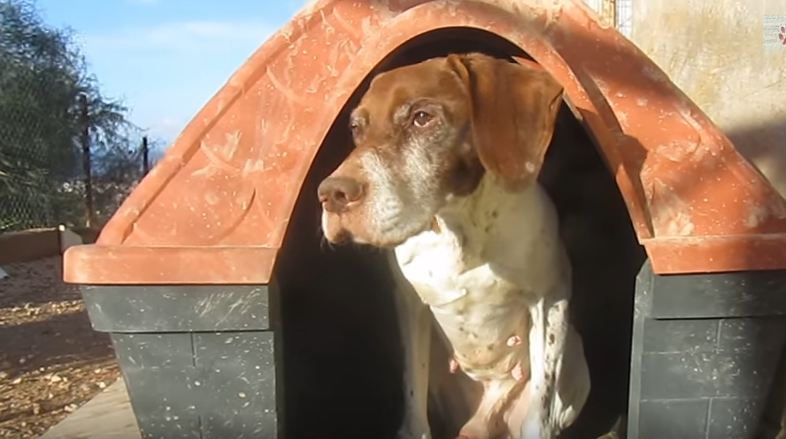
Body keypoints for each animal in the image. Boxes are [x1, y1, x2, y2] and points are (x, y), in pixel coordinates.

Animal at [318, 52, 588, 439]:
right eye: (357, 128)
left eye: (422, 117)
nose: (330, 195)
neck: (461, 230)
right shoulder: (409, 304)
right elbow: (413, 403)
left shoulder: (551, 298)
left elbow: (541, 406)